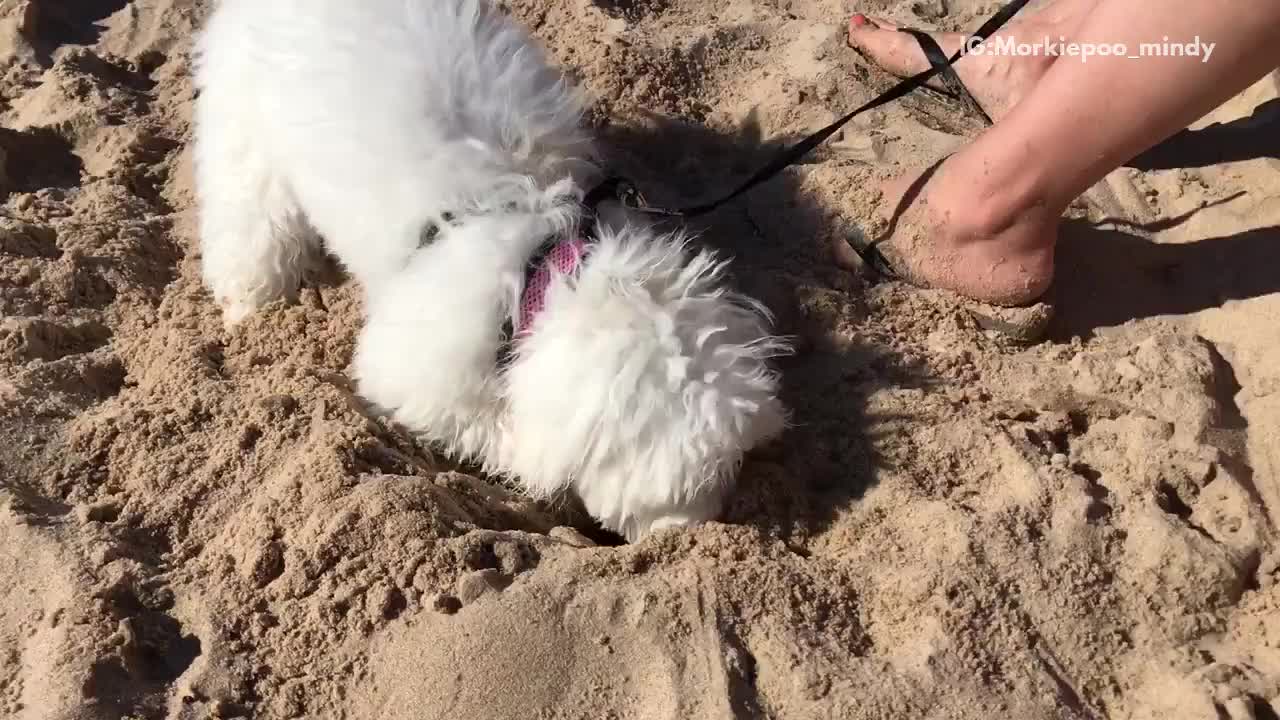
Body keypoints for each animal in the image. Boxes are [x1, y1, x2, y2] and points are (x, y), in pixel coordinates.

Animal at [192, 0, 788, 538]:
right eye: (679, 490)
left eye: (733, 463)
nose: (697, 533)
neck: (540, 259)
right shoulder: (416, 364)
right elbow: (484, 425)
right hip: (243, 126)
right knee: (249, 218)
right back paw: (252, 310)